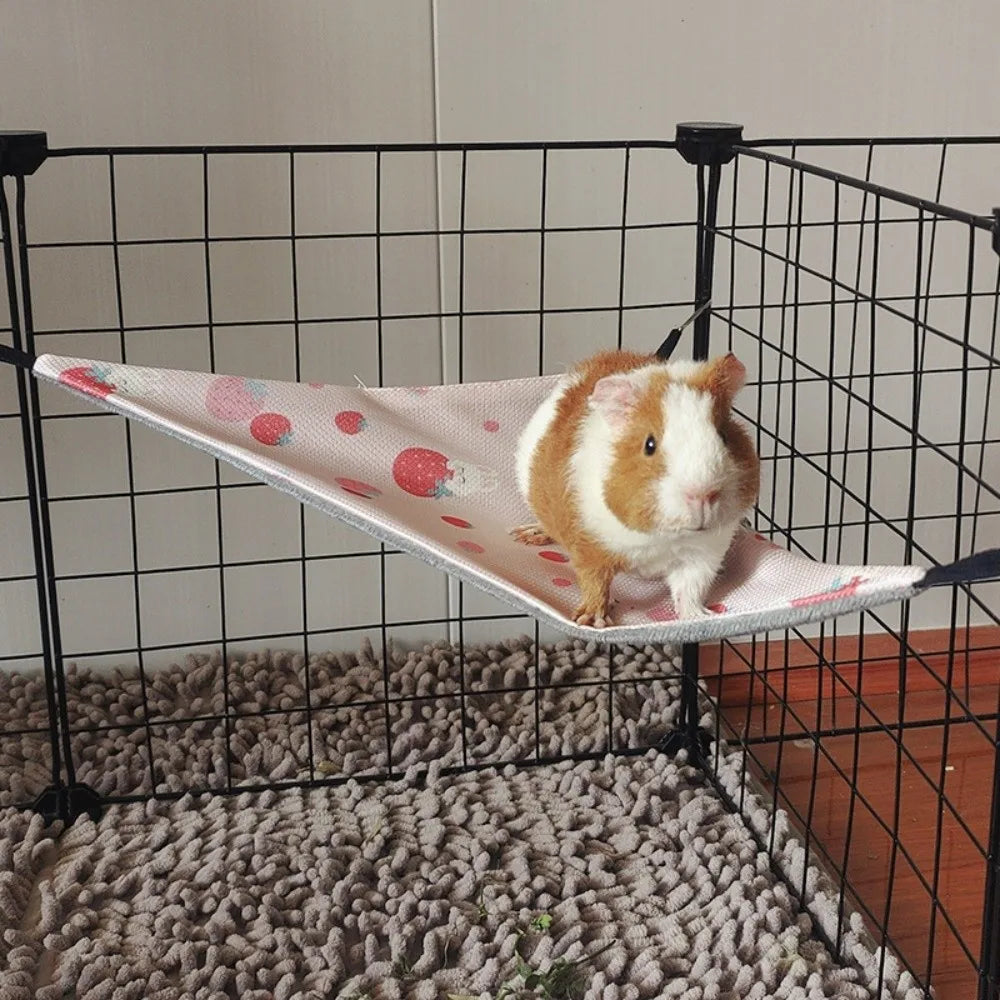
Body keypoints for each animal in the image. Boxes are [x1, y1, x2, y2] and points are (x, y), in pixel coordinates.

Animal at [513, 350, 759, 628]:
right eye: (649, 445)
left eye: (724, 436)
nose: (702, 495)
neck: (662, 535)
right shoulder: (589, 546)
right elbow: (595, 583)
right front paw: (593, 621)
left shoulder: (702, 555)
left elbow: (690, 590)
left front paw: (698, 617)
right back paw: (526, 535)